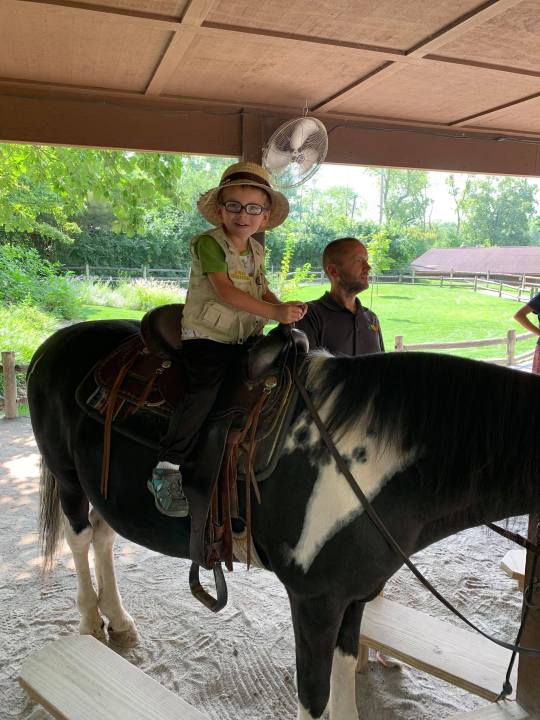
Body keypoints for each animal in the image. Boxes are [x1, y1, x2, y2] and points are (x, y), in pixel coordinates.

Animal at [28, 320, 540, 720]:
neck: (367, 459)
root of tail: (55, 342)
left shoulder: (351, 598)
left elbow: (344, 682)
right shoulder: (314, 602)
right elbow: (314, 699)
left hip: (103, 490)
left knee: (103, 538)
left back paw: (119, 620)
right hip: (67, 476)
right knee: (79, 539)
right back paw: (91, 622)